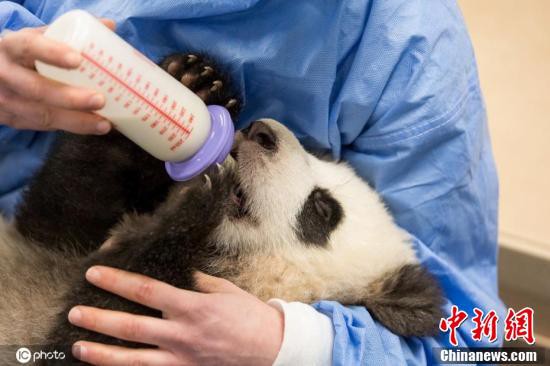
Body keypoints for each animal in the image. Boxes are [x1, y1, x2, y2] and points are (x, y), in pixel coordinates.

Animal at [0, 53, 444, 364]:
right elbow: (65, 208)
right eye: (318, 152)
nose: (262, 133)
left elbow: (88, 331)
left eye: (324, 210)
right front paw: (194, 82)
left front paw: (194, 204)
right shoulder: (59, 244)